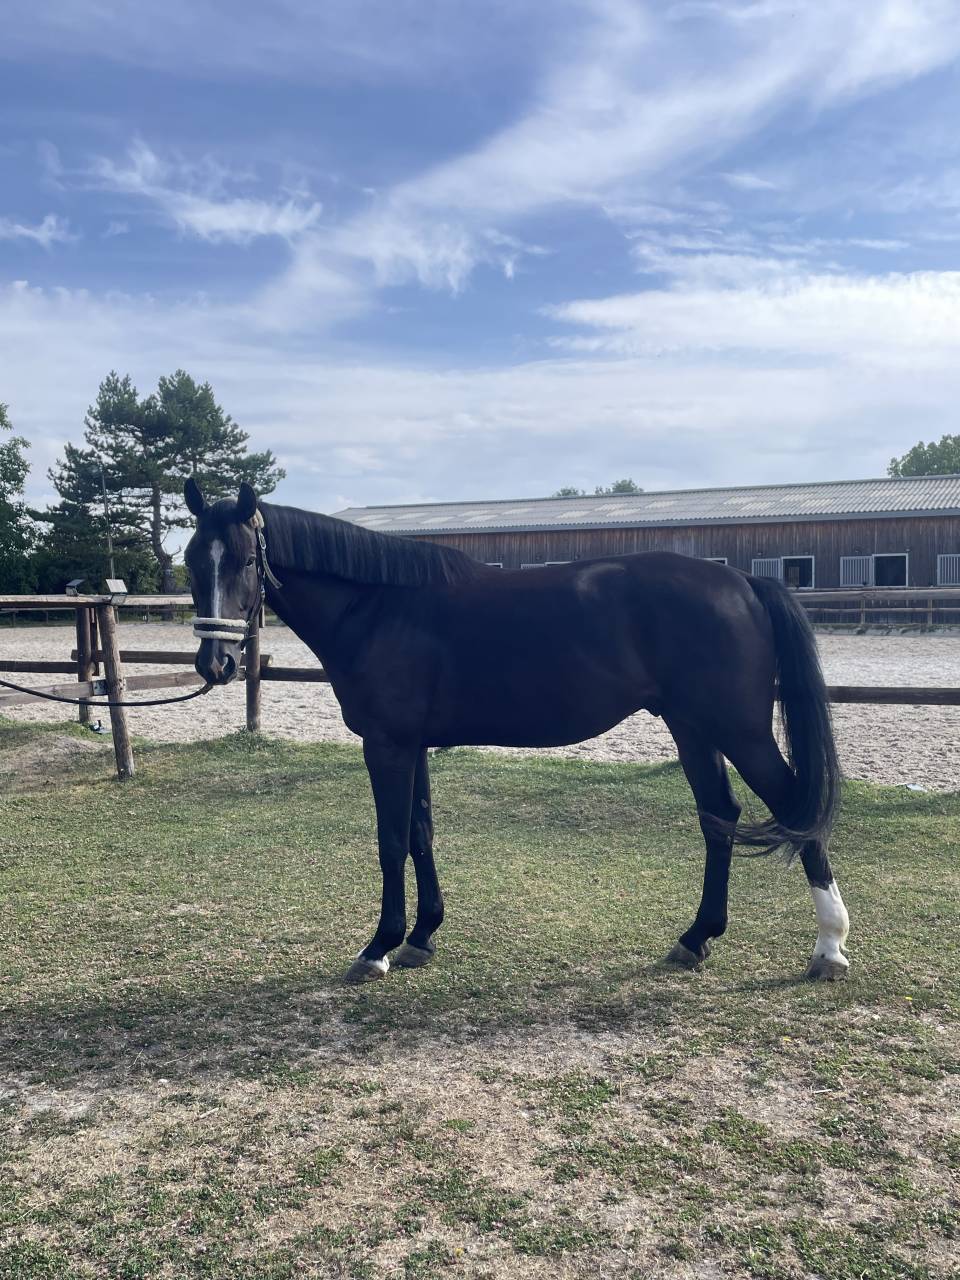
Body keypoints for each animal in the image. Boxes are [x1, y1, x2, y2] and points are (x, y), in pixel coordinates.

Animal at [183, 479, 850, 985]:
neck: (379, 607)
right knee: (720, 816)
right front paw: (421, 937)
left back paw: (829, 948)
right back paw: (697, 937)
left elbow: (391, 840)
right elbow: (421, 832)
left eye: (246, 560)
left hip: (739, 730)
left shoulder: (387, 745)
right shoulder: (411, 746)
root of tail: (743, 583)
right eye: (192, 561)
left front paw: (378, 948)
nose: (216, 664)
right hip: (693, 728)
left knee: (792, 806)